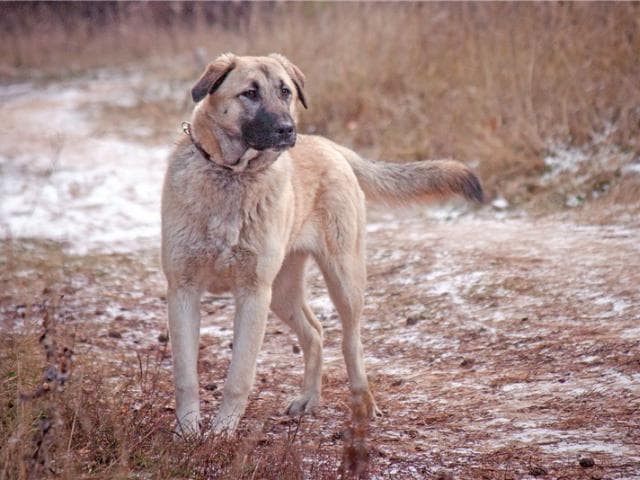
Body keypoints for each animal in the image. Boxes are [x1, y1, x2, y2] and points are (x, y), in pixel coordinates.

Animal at [160, 52, 480, 436]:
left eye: (285, 92)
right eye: (249, 93)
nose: (287, 130)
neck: (231, 175)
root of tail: (331, 146)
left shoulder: (253, 293)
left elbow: (239, 376)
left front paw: (222, 433)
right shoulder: (183, 290)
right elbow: (185, 376)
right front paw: (187, 432)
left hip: (342, 278)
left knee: (351, 340)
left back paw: (363, 404)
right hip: (282, 292)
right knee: (314, 332)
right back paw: (309, 399)